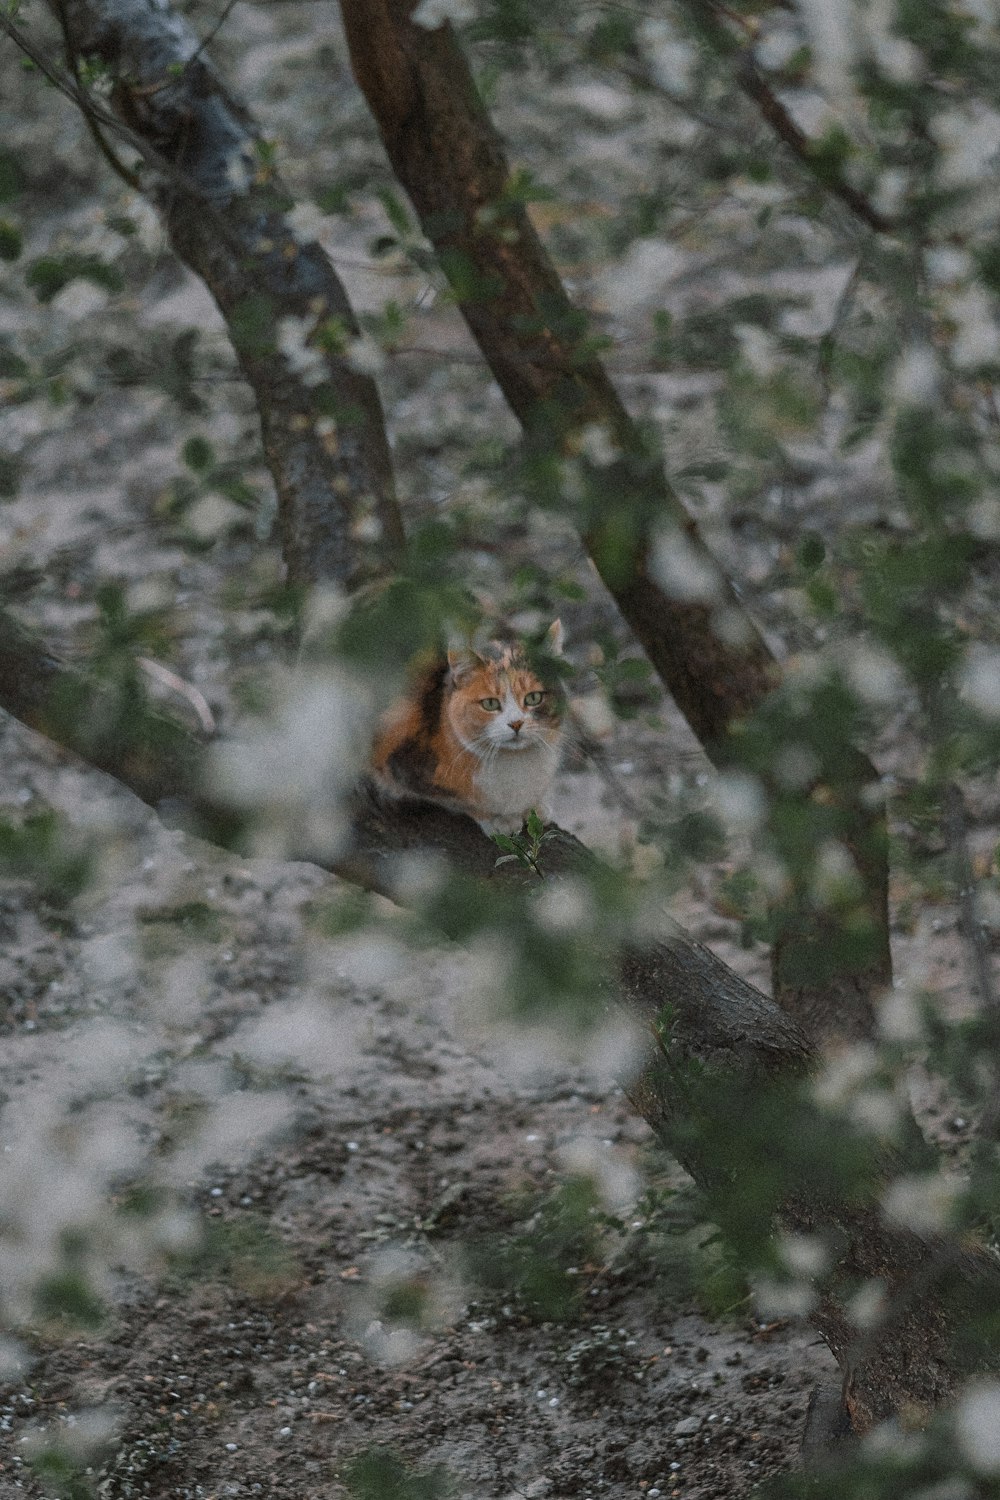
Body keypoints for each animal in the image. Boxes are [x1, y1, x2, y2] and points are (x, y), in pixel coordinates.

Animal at [371, 618, 566, 834]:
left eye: (533, 698)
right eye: (490, 703)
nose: (516, 723)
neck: (514, 760)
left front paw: (535, 807)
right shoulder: (405, 766)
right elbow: (463, 801)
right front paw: (499, 819)